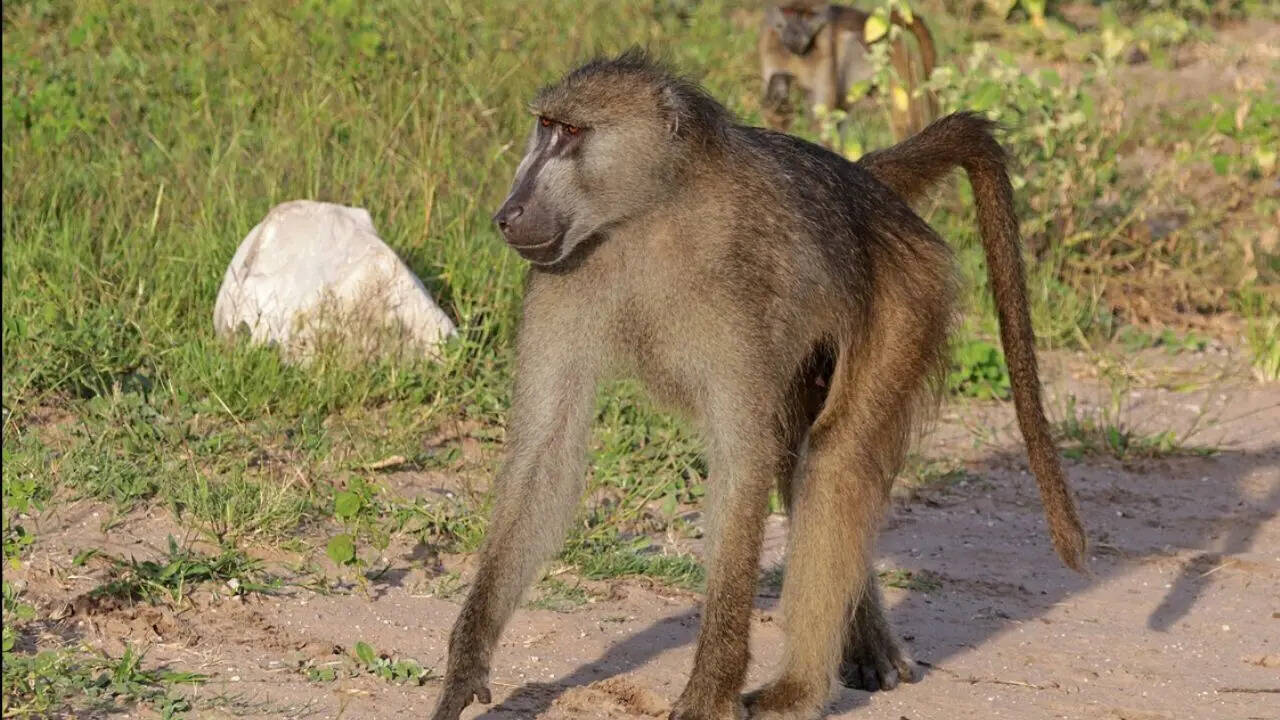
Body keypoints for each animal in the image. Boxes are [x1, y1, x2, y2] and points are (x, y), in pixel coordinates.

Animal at [429, 50, 1085, 720]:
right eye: (545, 127)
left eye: (570, 133)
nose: (507, 214)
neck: (649, 211)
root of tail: (862, 185)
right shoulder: (558, 275)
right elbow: (546, 455)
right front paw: (466, 665)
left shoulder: (740, 291)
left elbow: (741, 465)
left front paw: (707, 693)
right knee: (806, 461)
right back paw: (865, 643)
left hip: (908, 292)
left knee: (834, 458)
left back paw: (798, 689)